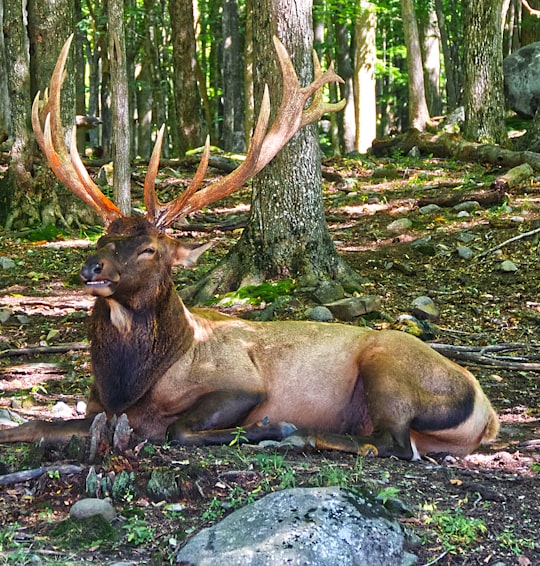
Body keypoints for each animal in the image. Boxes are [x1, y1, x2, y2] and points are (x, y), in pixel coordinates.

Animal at [0, 36, 500, 462]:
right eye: (103, 239)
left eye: (149, 250)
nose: (92, 267)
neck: (129, 386)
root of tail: (488, 412)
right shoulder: (96, 408)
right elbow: (31, 427)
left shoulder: (243, 382)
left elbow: (178, 429)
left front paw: (269, 428)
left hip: (390, 367)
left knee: (391, 442)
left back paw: (301, 435)